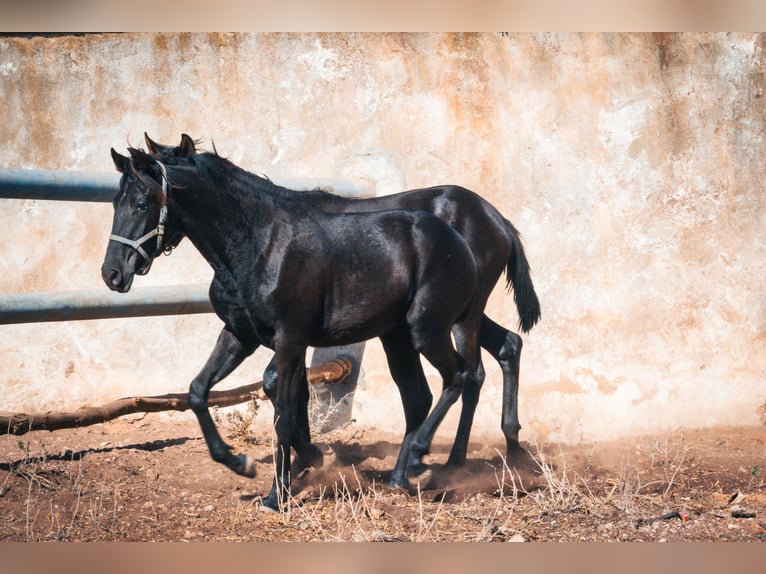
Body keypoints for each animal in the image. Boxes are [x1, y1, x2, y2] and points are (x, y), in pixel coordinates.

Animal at [103, 147, 486, 512]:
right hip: (397, 337)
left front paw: (277, 495)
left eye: (142, 204)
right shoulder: (240, 335)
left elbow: (284, 413)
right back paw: (398, 478)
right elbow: (198, 390)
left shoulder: (289, 340)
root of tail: (463, 242)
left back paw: (421, 458)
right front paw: (240, 463)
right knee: (418, 397)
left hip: (427, 329)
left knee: (460, 375)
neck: (261, 245)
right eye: (115, 202)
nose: (112, 274)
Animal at [144, 135, 540, 468]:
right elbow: (289, 387)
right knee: (506, 346)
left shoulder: (290, 332)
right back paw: (506, 447)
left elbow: (284, 385)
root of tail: (500, 221)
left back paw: (453, 458)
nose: (127, 265)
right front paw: (304, 457)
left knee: (473, 370)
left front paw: (303, 458)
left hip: (454, 315)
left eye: (147, 202)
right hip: (457, 313)